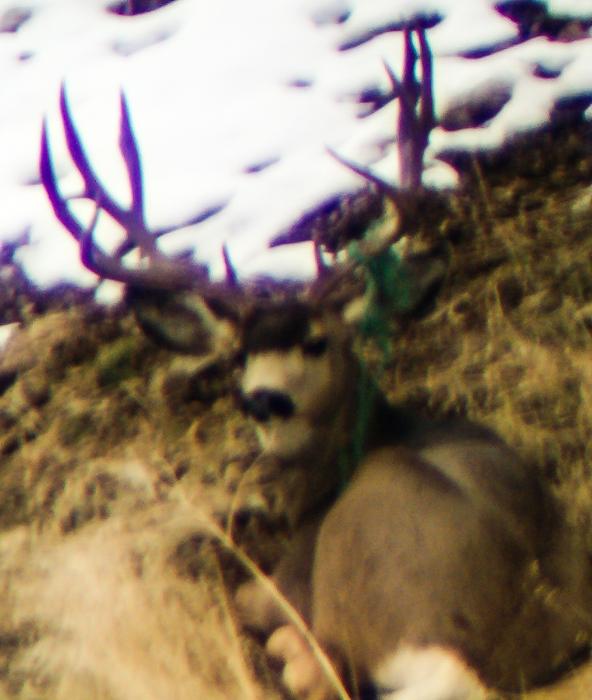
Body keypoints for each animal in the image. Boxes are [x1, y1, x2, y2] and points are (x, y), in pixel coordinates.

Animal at [40, 25, 592, 700]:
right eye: (240, 356)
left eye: (318, 340)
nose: (263, 398)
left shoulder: (282, 579)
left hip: (368, 565)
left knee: (318, 667)